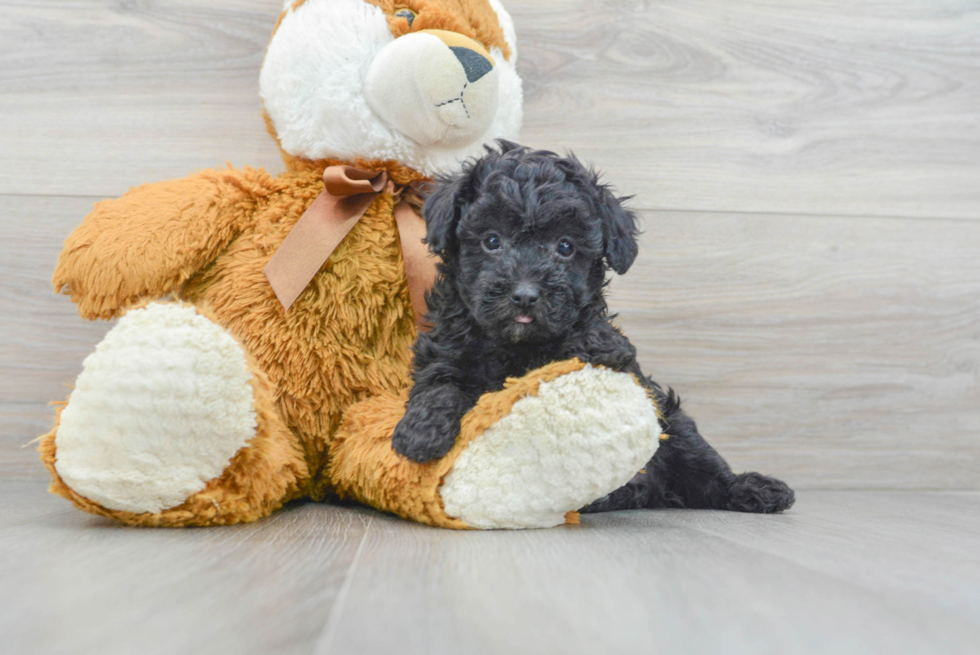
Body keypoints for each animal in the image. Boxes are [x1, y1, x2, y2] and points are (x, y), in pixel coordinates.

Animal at [392, 141, 796, 516]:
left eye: (565, 247)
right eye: (492, 241)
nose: (525, 295)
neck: (517, 345)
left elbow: (598, 343)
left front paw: (597, 343)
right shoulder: (445, 350)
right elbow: (440, 385)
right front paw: (421, 433)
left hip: (673, 421)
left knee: (705, 469)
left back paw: (755, 489)